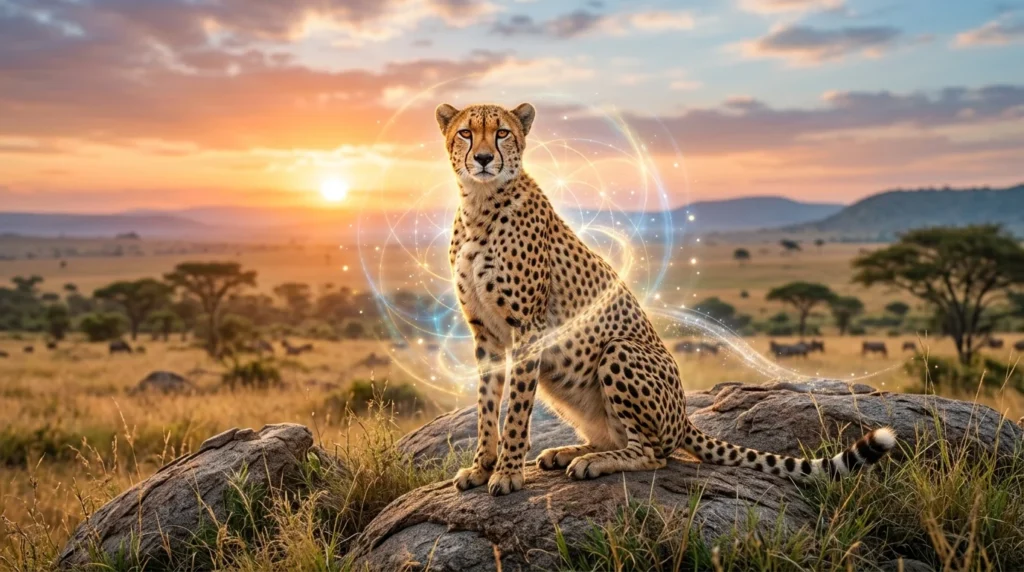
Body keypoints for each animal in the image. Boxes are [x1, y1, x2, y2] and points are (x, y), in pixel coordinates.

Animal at [436, 101, 896, 496]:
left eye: (501, 133)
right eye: (465, 133)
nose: (483, 159)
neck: (479, 205)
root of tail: (684, 416)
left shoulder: (528, 329)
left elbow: (514, 409)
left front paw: (508, 473)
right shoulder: (486, 334)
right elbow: (486, 405)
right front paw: (481, 467)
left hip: (619, 350)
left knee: (653, 453)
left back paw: (592, 462)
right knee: (618, 438)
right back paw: (570, 451)